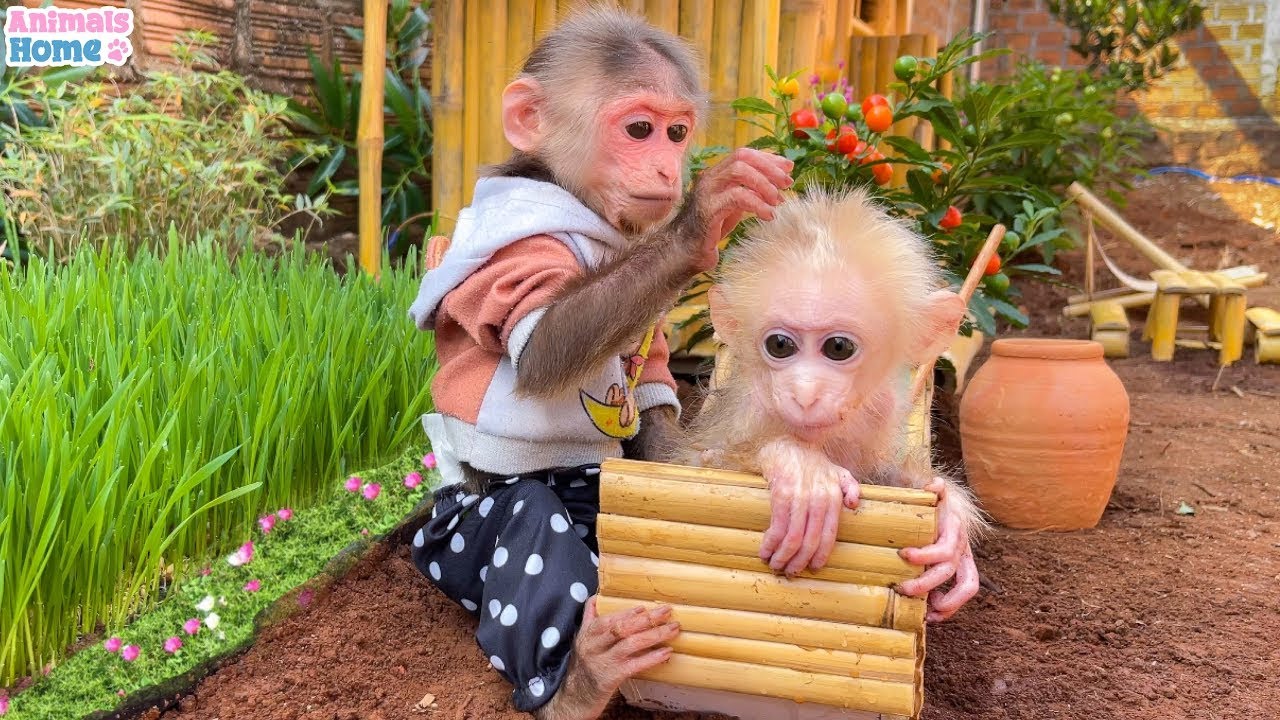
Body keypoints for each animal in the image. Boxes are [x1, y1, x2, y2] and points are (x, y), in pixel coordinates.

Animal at [404, 6, 794, 720]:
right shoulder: (515, 249)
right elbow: (538, 344)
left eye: (676, 132)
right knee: (526, 515)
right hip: (452, 531)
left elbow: (657, 386)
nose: (669, 168)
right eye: (639, 130)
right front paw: (704, 214)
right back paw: (582, 677)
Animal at [672, 186, 986, 624]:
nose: (805, 393)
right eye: (780, 345)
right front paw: (800, 471)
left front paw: (951, 521)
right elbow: (695, 468)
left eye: (838, 348)